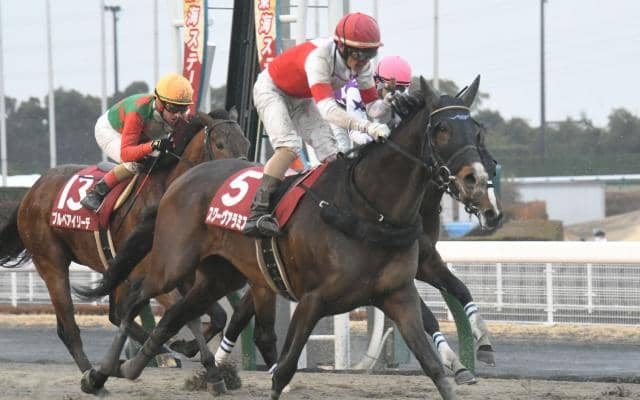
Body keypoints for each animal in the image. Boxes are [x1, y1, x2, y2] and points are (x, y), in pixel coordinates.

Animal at [0, 110, 250, 374]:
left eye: (246, 143)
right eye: (220, 144)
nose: (240, 173)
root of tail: (31, 191)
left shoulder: (181, 273)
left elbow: (216, 316)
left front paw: (190, 349)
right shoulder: (151, 273)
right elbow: (176, 313)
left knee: (115, 314)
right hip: (51, 262)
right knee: (70, 326)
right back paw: (92, 372)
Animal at [80, 76, 490, 400]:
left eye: (477, 131)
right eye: (441, 130)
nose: (477, 181)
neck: (368, 209)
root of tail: (179, 182)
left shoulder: (398, 295)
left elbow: (433, 365)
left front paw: (463, 364)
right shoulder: (312, 299)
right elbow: (284, 368)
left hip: (219, 276)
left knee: (176, 314)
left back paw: (137, 367)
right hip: (173, 263)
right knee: (135, 298)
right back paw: (101, 373)